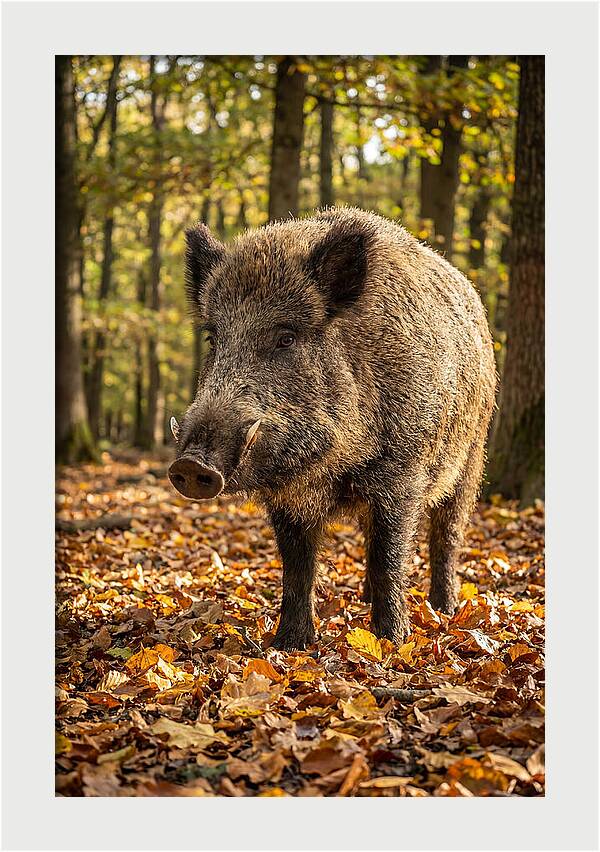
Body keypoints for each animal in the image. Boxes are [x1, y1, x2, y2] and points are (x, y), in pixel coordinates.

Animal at [168, 207, 497, 651]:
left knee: (447, 534)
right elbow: (297, 567)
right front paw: (288, 645)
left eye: (286, 338)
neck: (330, 467)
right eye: (213, 339)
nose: (190, 465)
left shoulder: (402, 474)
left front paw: (391, 642)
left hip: (472, 455)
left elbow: (389, 556)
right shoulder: (288, 499)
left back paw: (443, 609)